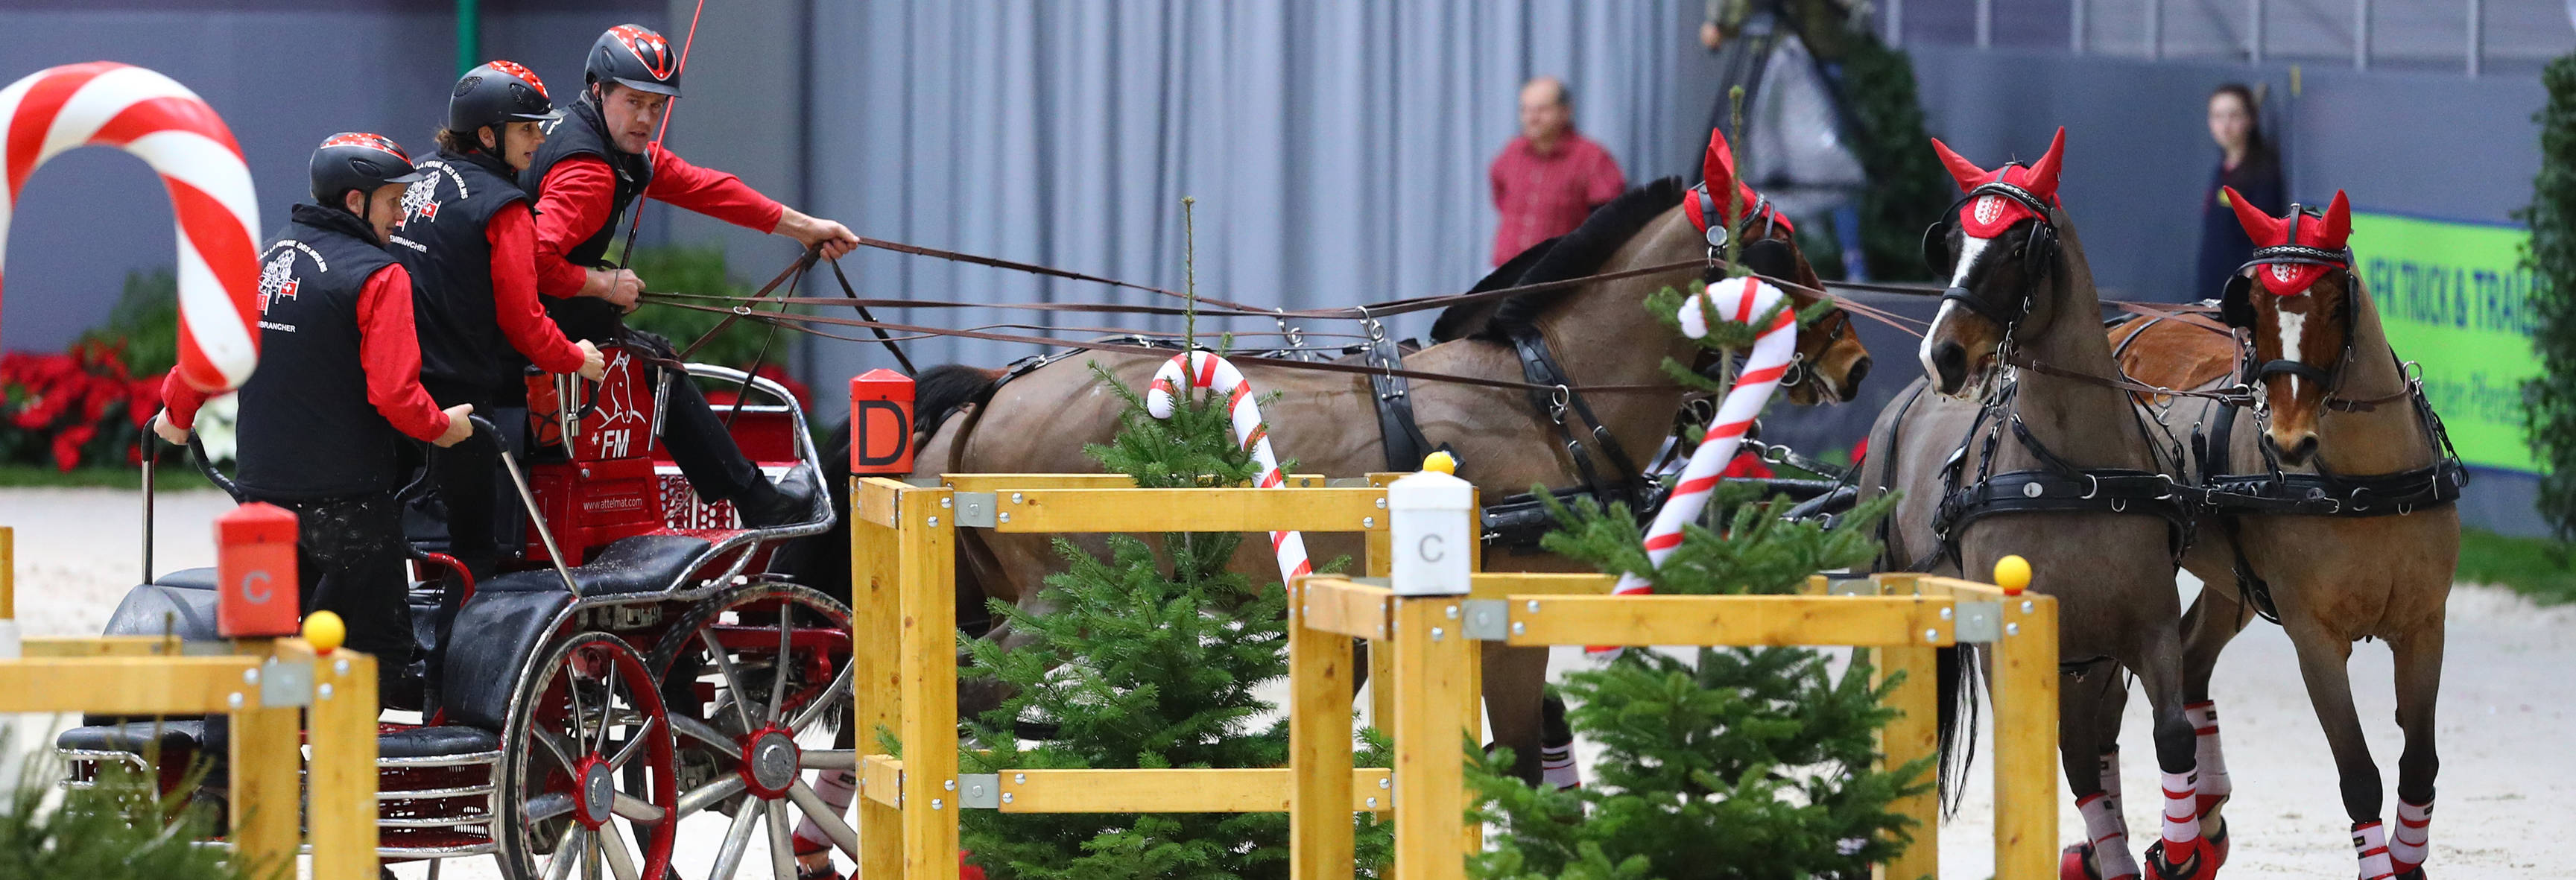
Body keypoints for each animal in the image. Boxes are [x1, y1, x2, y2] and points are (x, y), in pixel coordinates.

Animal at [778, 125, 1875, 782]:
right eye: (1781, 245)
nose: (1855, 360)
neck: (1536, 391)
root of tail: (999, 387)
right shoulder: (1512, 610)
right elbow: (1517, 753)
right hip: (1060, 601)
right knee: (957, 700)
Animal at [1855, 128, 2215, 880]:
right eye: (1950, 241)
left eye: (2019, 246)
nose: (1943, 355)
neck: (2068, 471)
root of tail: (1903, 404)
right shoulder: (2014, 640)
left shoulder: (2143, 629)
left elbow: (2170, 737)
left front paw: (2178, 851)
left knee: (2084, 752)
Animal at [2101, 192, 2462, 880]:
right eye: (2258, 312)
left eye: (2333, 304)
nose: (2288, 442)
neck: (2363, 484)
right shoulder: (2313, 637)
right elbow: (2359, 774)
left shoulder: (2424, 624)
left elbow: (2421, 763)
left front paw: (2408, 857)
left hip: (2234, 583)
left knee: (2192, 658)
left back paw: (2202, 815)